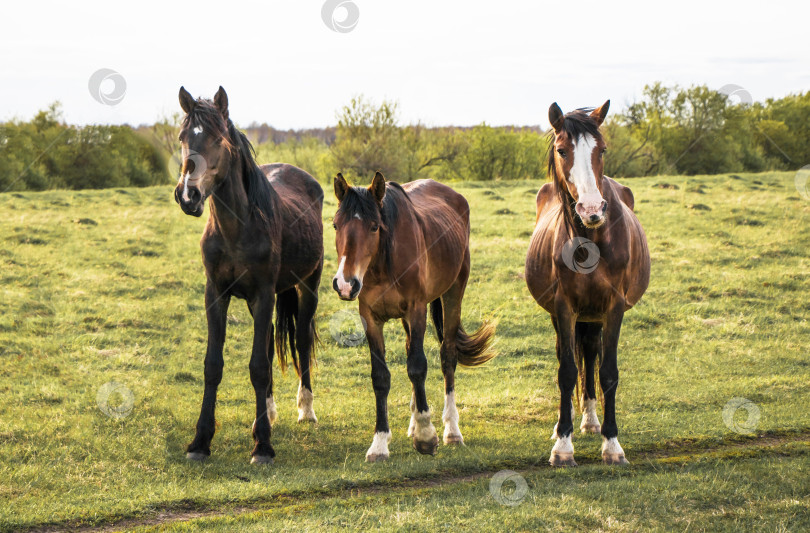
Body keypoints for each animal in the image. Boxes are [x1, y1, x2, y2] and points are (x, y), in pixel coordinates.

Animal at [174, 85, 322, 464]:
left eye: (217, 138)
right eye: (183, 137)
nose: (187, 194)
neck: (237, 229)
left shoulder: (264, 294)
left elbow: (257, 366)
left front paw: (263, 447)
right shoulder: (216, 295)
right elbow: (214, 365)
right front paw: (200, 442)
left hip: (307, 287)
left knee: (300, 342)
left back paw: (305, 410)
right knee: (269, 347)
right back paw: (265, 414)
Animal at [328, 172, 492, 460]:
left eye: (374, 227)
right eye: (336, 225)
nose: (345, 284)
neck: (382, 265)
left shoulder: (417, 310)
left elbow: (417, 366)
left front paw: (427, 436)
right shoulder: (370, 318)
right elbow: (381, 377)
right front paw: (380, 442)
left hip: (454, 291)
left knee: (447, 357)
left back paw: (451, 431)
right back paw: (415, 422)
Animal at [524, 101, 652, 466]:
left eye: (602, 149)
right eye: (561, 150)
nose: (592, 209)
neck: (592, 241)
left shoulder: (614, 307)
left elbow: (607, 371)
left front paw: (612, 444)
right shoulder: (564, 307)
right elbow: (567, 370)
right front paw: (563, 446)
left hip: (594, 315)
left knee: (592, 352)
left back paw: (592, 421)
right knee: (569, 356)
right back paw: (563, 424)